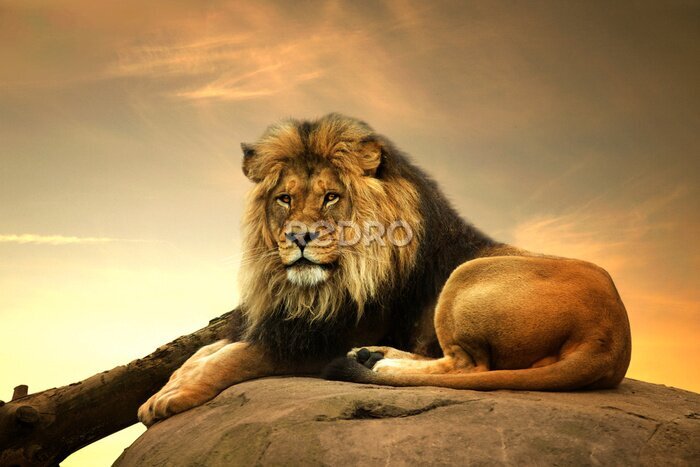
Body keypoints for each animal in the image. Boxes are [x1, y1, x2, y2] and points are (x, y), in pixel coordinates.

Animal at [138, 113, 631, 426]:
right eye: (284, 199)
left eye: (330, 197)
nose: (299, 238)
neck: (316, 289)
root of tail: (612, 337)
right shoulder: (285, 323)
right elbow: (206, 351)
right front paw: (165, 389)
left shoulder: (319, 340)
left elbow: (234, 357)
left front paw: (173, 398)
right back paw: (374, 357)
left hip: (467, 277)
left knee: (468, 365)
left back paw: (376, 363)